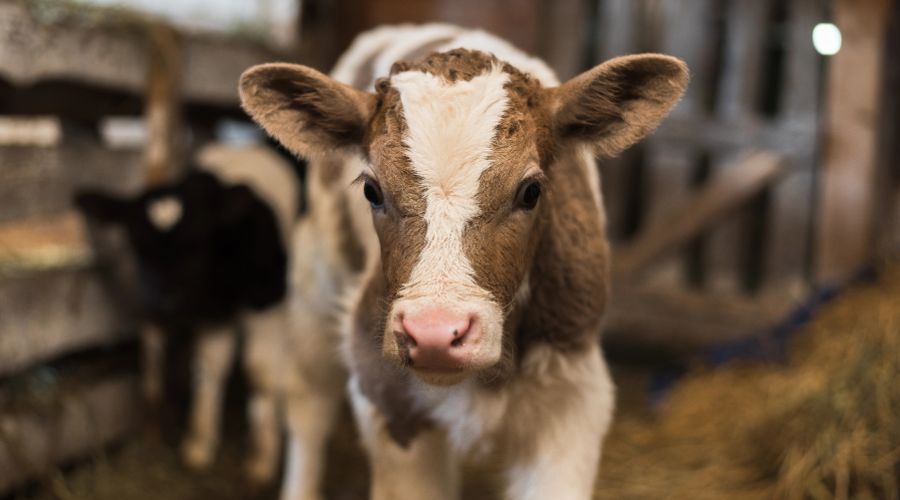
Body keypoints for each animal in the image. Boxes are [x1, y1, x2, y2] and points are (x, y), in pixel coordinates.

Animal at [74, 144, 297, 485]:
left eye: (196, 242)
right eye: (138, 246)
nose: (164, 301)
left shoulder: (271, 305)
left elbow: (258, 373)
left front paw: (261, 459)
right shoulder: (213, 319)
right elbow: (207, 370)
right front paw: (199, 444)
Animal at [240, 24, 689, 500]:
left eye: (531, 191)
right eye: (371, 191)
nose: (435, 334)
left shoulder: (572, 401)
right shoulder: (389, 401)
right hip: (316, 279)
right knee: (308, 404)